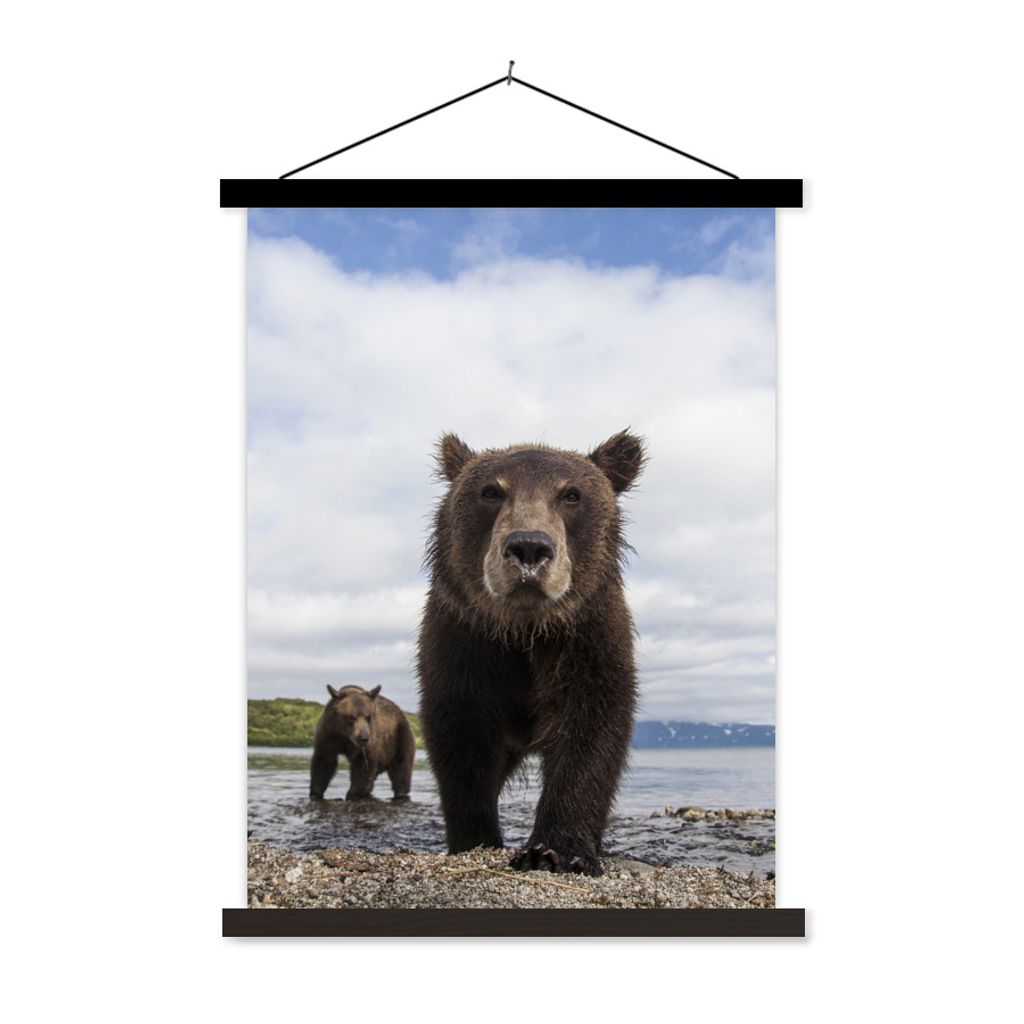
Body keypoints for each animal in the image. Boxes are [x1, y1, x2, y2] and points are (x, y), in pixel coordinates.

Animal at [416, 429, 646, 876]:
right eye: (491, 491)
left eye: (571, 494)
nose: (528, 548)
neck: (524, 631)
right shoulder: (465, 643)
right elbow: (461, 736)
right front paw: (474, 838)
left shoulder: (585, 639)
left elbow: (592, 728)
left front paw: (558, 851)